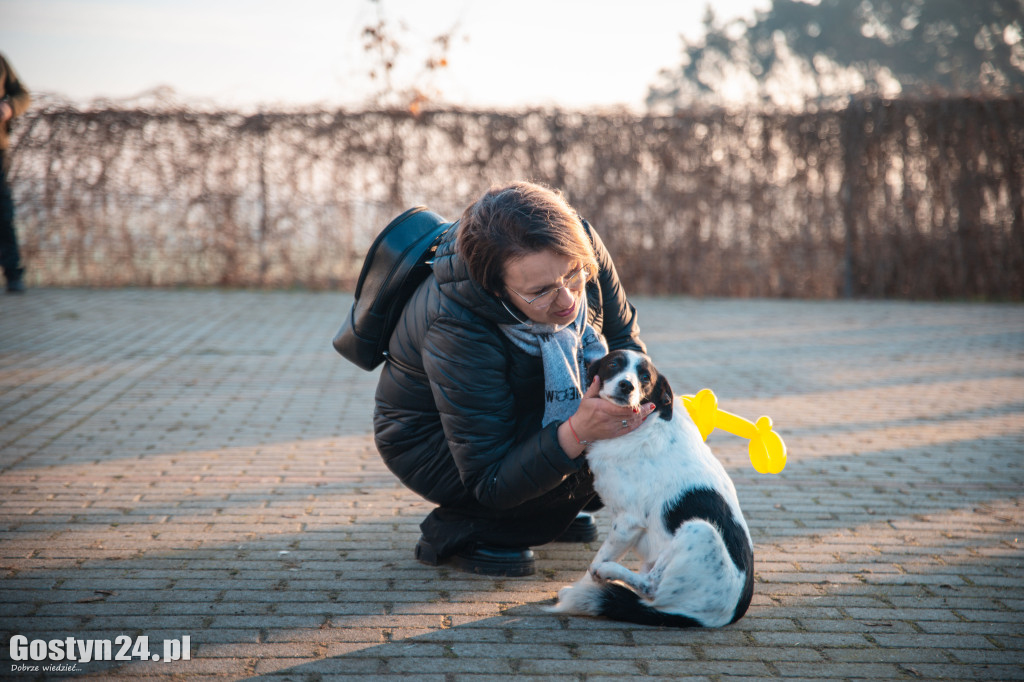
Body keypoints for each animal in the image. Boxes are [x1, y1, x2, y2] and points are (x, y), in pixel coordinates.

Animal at [552, 350, 753, 626]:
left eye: (645, 377)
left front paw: (586, 581)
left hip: (699, 531)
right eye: (613, 364)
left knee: (650, 586)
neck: (648, 424)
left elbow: (598, 558)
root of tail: (720, 616)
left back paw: (606, 573)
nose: (627, 386)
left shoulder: (627, 523)